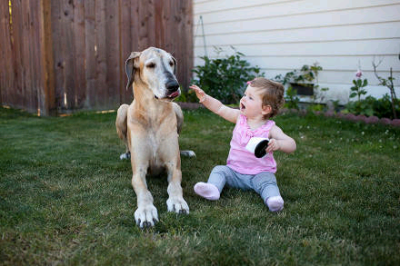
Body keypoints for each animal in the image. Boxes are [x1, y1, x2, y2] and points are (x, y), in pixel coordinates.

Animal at [116, 46, 190, 228]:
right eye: (150, 65)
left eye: (171, 63)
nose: (174, 85)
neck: (153, 113)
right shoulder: (138, 171)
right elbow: (144, 191)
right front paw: (146, 211)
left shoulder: (174, 167)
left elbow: (175, 185)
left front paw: (177, 201)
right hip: (122, 110)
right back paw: (125, 154)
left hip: (178, 109)